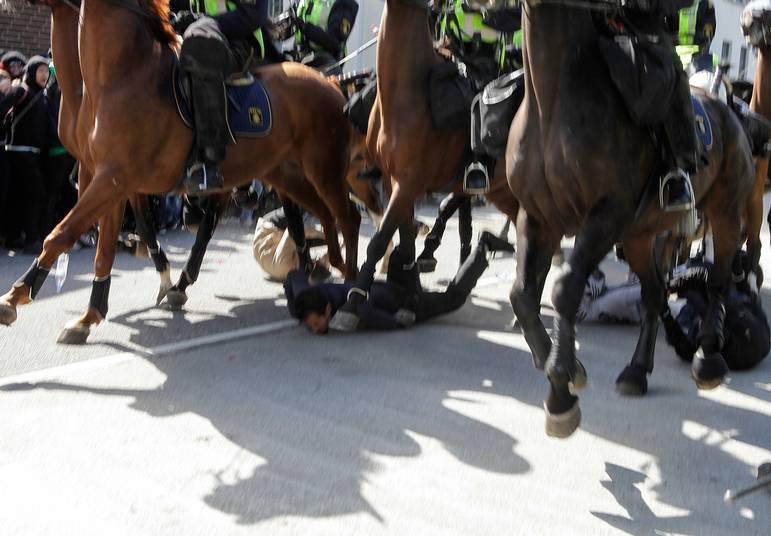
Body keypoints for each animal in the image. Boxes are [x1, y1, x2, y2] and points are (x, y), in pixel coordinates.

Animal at [0, 0, 362, 340]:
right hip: (287, 174)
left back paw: (350, 286)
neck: (121, 74)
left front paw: (16, 297)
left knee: (346, 216)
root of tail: (330, 82)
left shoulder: (112, 178)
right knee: (322, 214)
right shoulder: (105, 178)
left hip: (322, 169)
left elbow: (62, 233)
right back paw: (328, 265)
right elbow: (104, 246)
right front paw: (88, 315)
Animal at [326, 0, 520, 330]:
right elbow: (405, 242)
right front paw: (409, 301)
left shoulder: (408, 183)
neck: (407, 89)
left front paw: (351, 305)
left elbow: (380, 240)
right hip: (502, 191)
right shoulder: (393, 181)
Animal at [510, 0, 756, 438]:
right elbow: (522, 295)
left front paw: (561, 390)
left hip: (725, 213)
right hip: (640, 237)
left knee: (718, 282)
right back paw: (637, 371)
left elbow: (564, 289)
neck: (554, 101)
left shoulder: (606, 214)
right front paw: (560, 365)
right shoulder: (537, 217)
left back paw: (708, 357)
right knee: (655, 295)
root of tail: (726, 109)